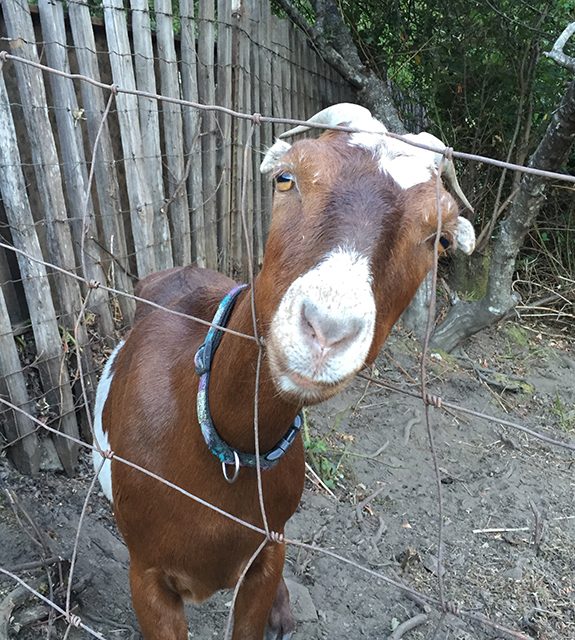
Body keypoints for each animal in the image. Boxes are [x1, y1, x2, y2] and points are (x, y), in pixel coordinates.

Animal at [93, 103, 475, 640]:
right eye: (286, 178)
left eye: (438, 239)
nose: (327, 329)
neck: (226, 448)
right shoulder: (146, 574)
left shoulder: (266, 551)